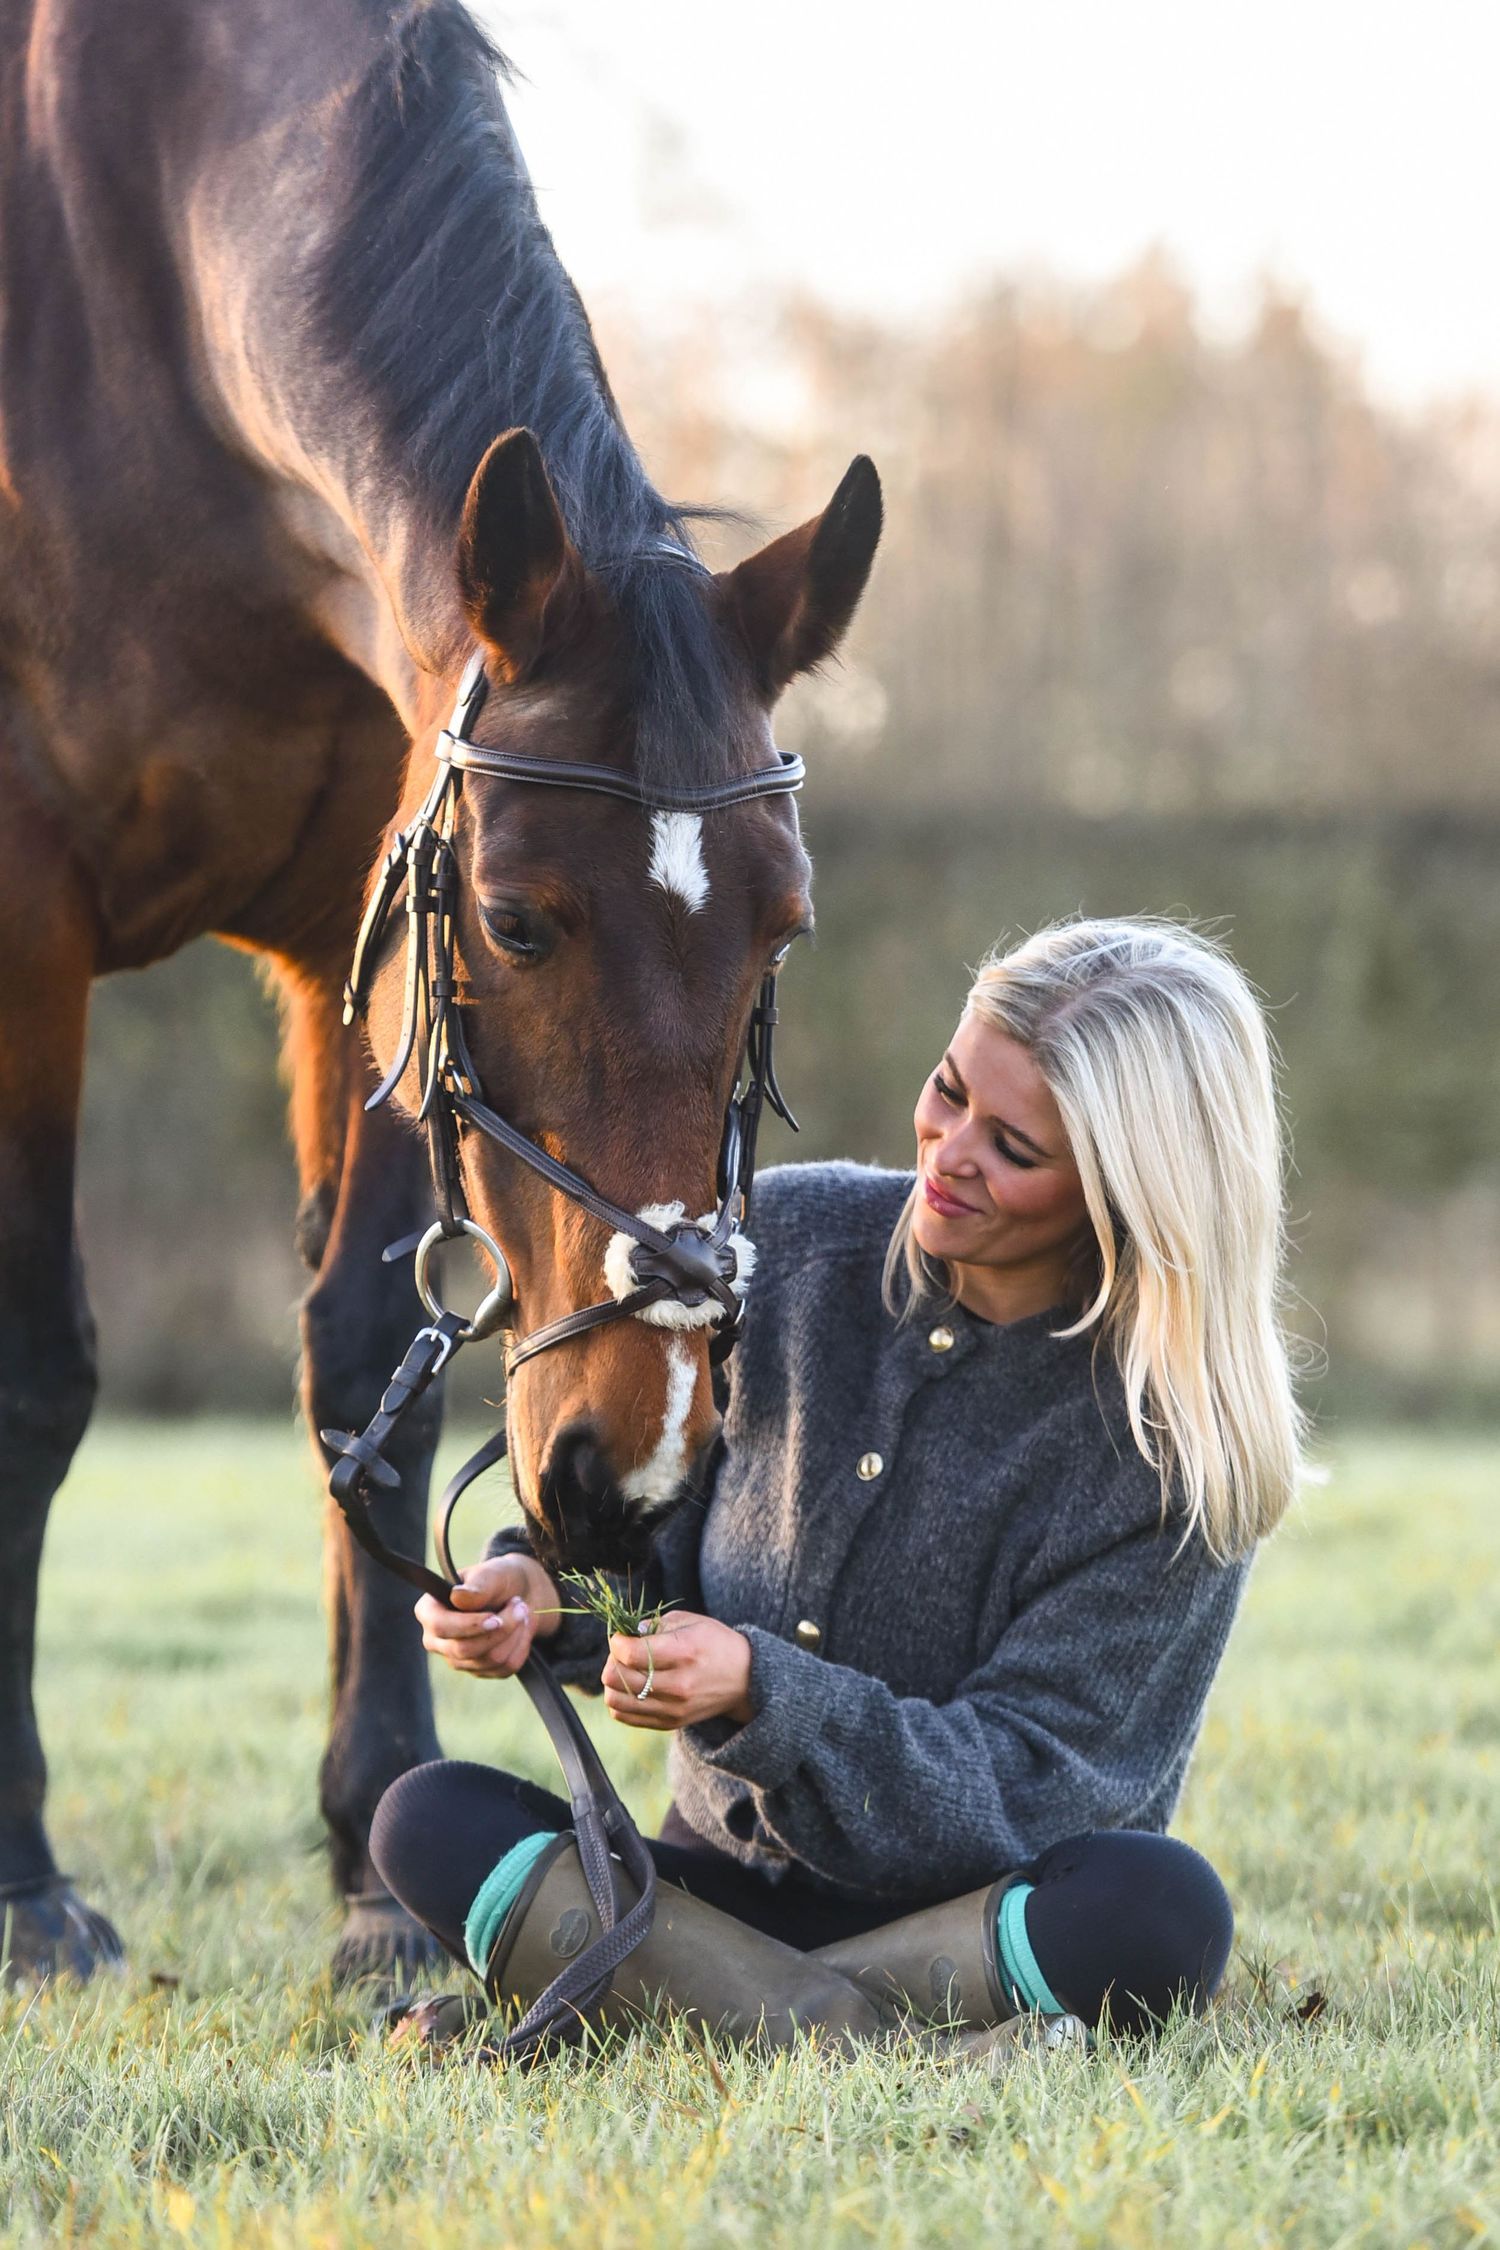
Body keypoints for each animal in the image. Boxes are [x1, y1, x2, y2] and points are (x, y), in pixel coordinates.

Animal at [0, 0, 881, 1984]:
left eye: (781, 931)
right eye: (519, 919)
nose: (636, 1466)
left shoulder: (363, 939)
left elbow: (359, 1368)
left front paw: (369, 1852)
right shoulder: (24, 908)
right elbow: (32, 1374)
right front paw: (23, 1878)